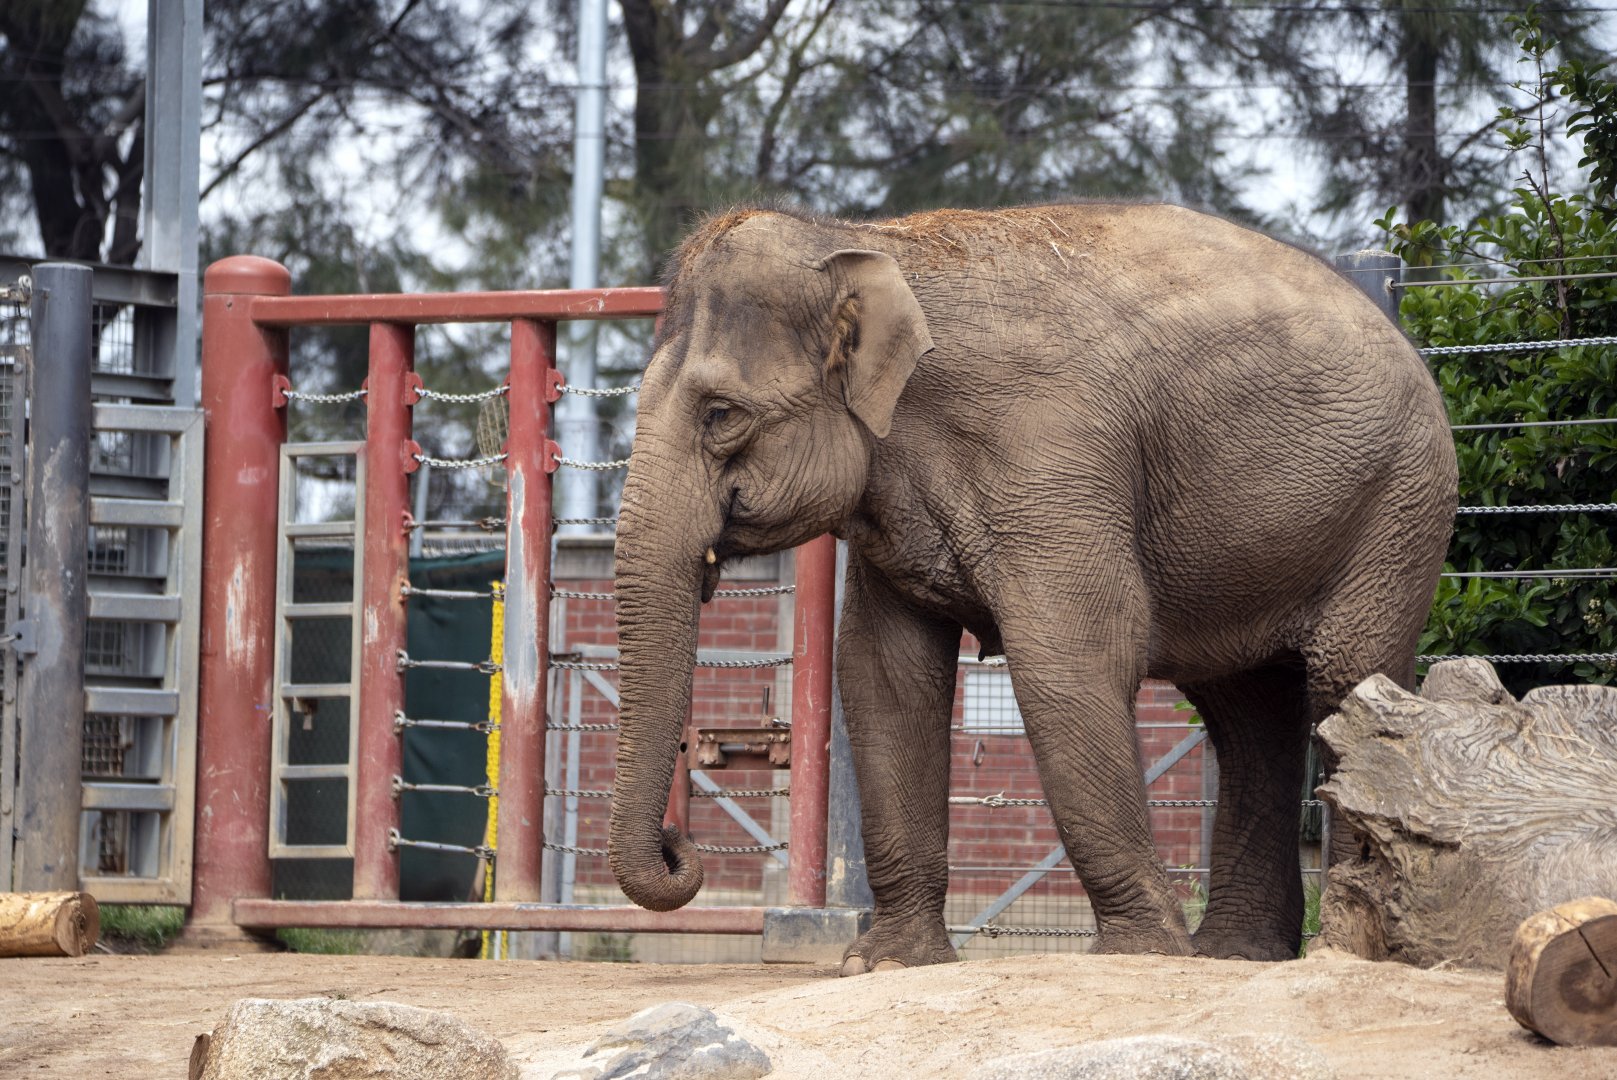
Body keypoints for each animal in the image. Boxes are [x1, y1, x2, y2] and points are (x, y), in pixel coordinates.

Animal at [606, 203, 1457, 971]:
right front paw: (886, 964)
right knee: (1248, 716)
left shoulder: (1050, 457)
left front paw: (1140, 955)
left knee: (1346, 683)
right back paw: (1236, 955)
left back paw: (1346, 948)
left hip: (1397, 509)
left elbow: (1070, 660)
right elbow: (883, 676)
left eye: (721, 414)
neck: (865, 241)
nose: (678, 846)